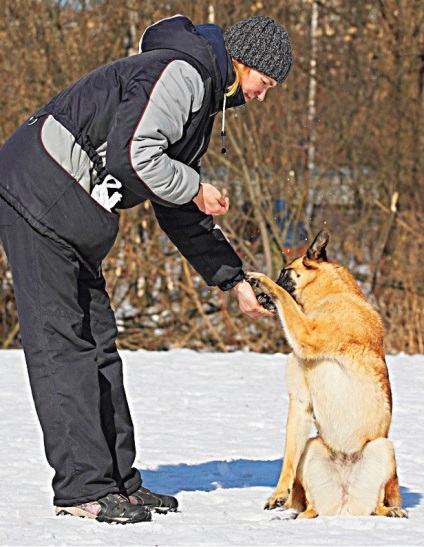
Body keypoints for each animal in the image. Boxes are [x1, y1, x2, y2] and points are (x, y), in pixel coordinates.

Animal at [245, 230, 408, 520]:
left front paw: (262, 280)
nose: (257, 297)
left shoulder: (308, 333)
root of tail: (344, 503)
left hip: (383, 447)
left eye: (284, 272)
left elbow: (284, 298)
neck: (331, 293)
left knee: (377, 505)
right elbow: (288, 456)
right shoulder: (299, 404)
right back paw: (297, 516)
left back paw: (391, 511)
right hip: (312, 447)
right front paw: (279, 494)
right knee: (311, 504)